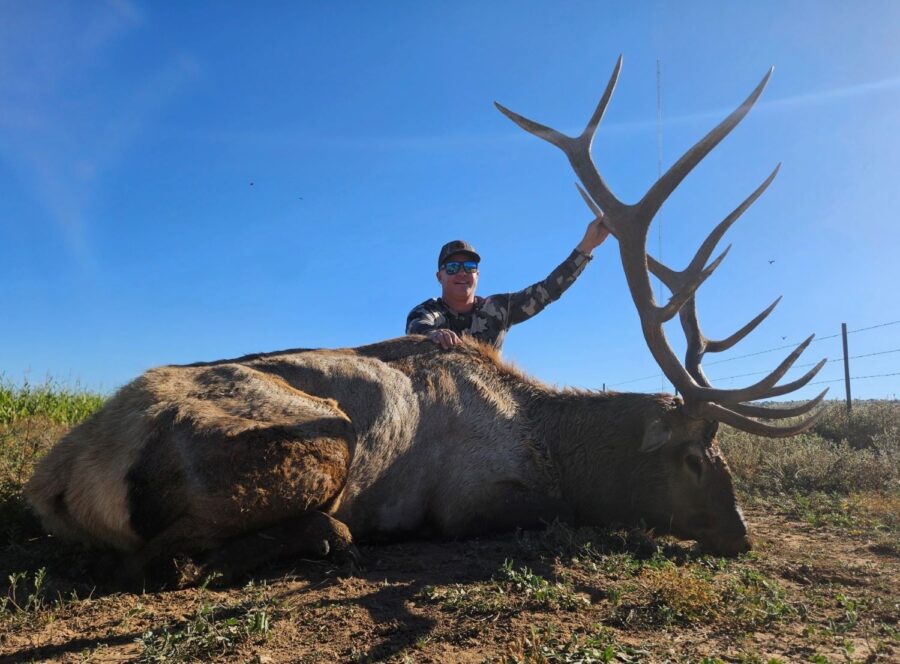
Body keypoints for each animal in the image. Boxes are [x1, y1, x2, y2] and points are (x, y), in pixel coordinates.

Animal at [26, 57, 826, 585]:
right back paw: (334, 536)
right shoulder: (476, 500)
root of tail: (57, 480)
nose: (740, 535)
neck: (549, 440)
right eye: (694, 458)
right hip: (316, 439)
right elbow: (549, 514)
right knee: (166, 560)